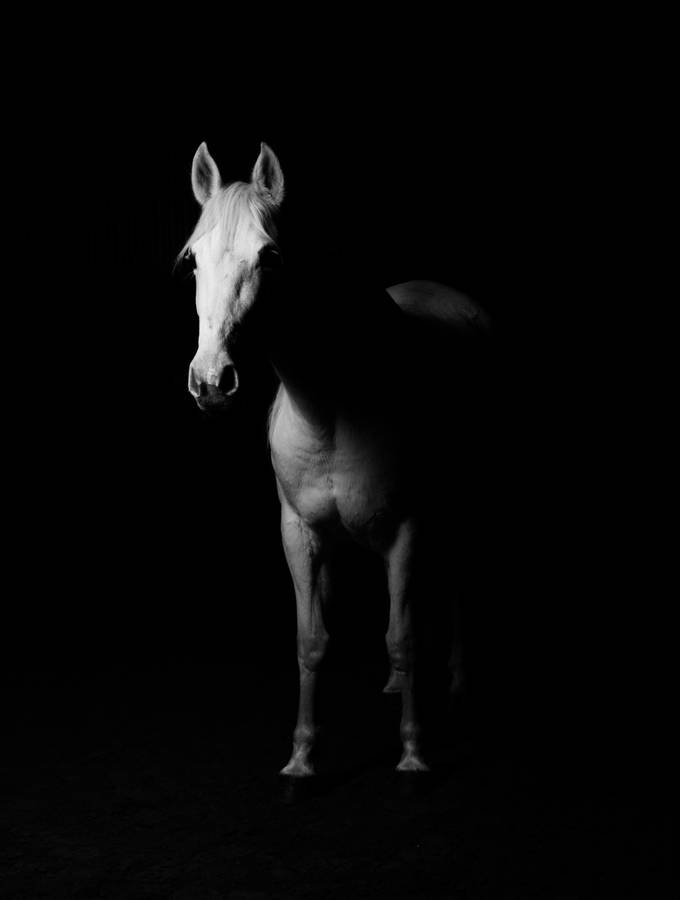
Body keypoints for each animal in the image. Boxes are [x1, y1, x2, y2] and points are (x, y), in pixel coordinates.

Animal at [181, 142, 491, 776]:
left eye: (270, 255)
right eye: (194, 259)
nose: (211, 381)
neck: (332, 409)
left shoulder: (407, 529)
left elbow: (404, 636)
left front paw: (413, 752)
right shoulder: (298, 533)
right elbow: (312, 640)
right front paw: (302, 755)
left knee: (455, 581)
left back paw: (455, 682)